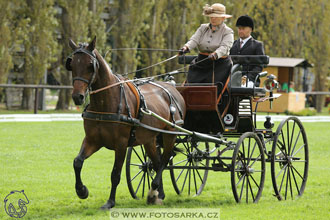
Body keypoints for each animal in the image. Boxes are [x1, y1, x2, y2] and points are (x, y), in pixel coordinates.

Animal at [66, 37, 186, 209]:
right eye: (72, 65)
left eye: (90, 65)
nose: (78, 97)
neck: (105, 103)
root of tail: (173, 89)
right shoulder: (92, 140)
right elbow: (77, 162)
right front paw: (82, 190)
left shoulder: (121, 144)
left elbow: (115, 174)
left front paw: (110, 202)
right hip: (149, 139)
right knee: (157, 163)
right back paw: (158, 194)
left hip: (170, 134)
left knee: (165, 160)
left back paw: (153, 191)